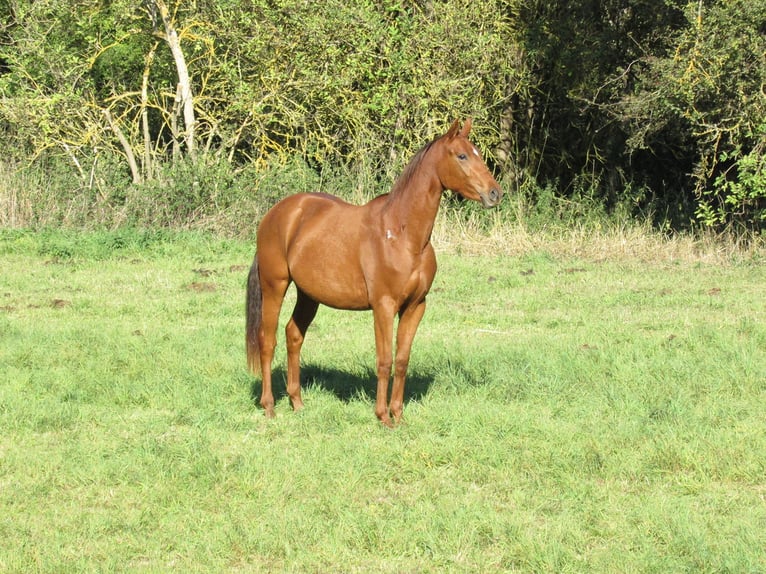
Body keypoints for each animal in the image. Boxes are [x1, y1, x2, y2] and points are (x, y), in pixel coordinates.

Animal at [246, 119, 502, 426]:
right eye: (462, 156)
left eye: (478, 153)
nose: (495, 193)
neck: (402, 235)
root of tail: (277, 214)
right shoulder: (383, 306)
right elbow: (384, 360)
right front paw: (383, 417)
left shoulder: (416, 306)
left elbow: (401, 361)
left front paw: (398, 416)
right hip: (275, 285)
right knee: (267, 341)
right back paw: (270, 407)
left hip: (308, 294)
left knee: (294, 335)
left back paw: (297, 403)